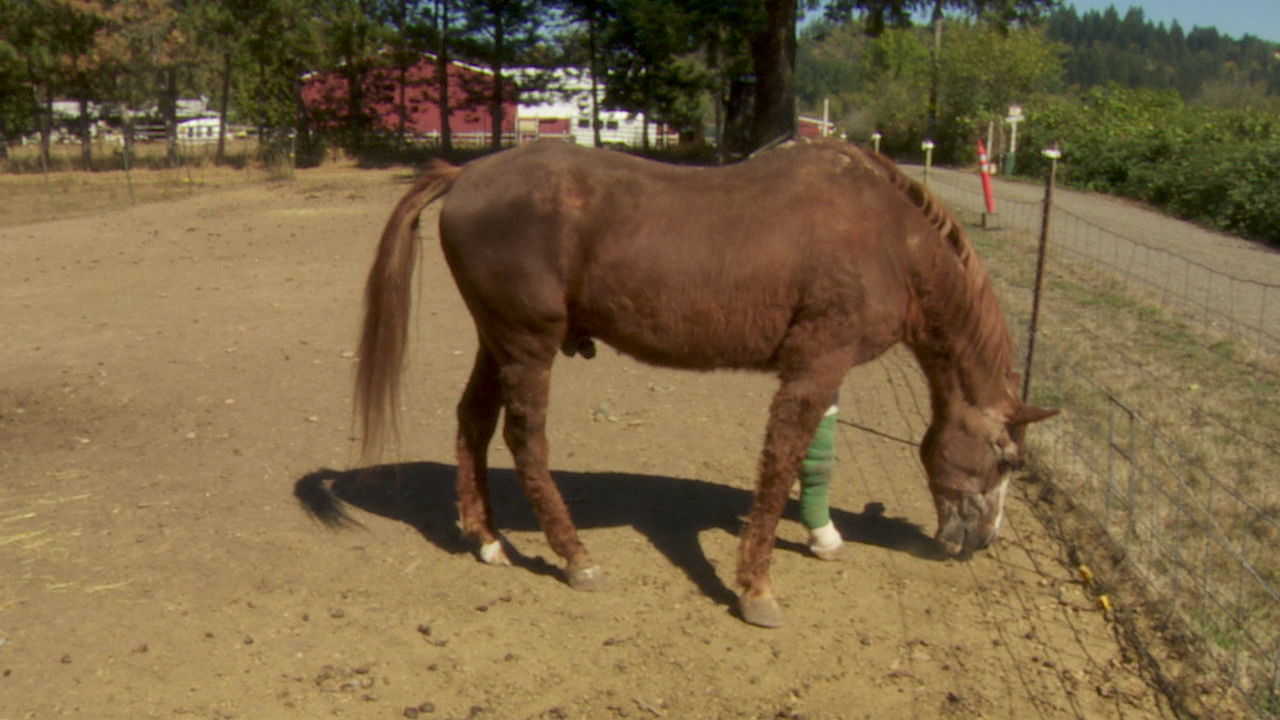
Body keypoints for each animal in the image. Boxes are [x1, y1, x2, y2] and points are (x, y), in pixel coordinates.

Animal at [355, 138, 1057, 628]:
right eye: (1009, 459)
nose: (982, 541)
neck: (887, 237)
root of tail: (465, 175)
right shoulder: (815, 364)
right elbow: (779, 466)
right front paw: (756, 590)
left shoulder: (828, 369)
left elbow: (816, 460)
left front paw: (824, 536)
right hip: (527, 346)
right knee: (525, 442)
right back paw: (576, 557)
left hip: (495, 341)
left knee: (472, 423)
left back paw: (487, 540)